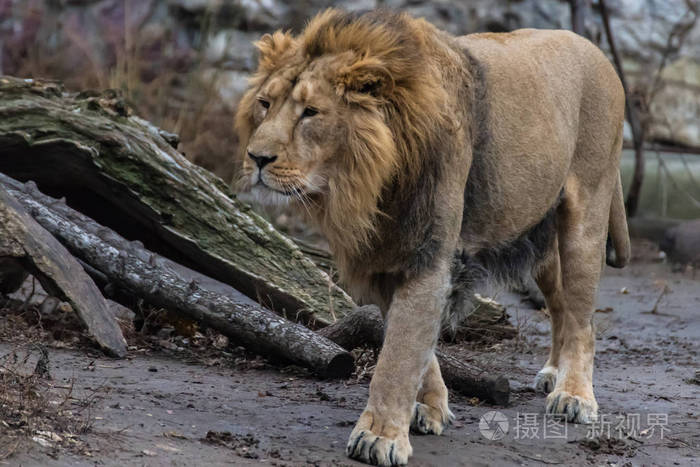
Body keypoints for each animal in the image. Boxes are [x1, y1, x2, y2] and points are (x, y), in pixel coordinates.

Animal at [232, 8, 632, 467]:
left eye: (311, 112)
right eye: (265, 104)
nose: (256, 158)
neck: (364, 183)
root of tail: (597, 52)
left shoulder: (427, 253)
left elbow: (399, 353)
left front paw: (380, 436)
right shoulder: (384, 257)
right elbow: (412, 345)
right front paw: (430, 407)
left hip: (586, 216)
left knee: (583, 319)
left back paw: (574, 395)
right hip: (543, 245)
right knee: (561, 306)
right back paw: (553, 372)